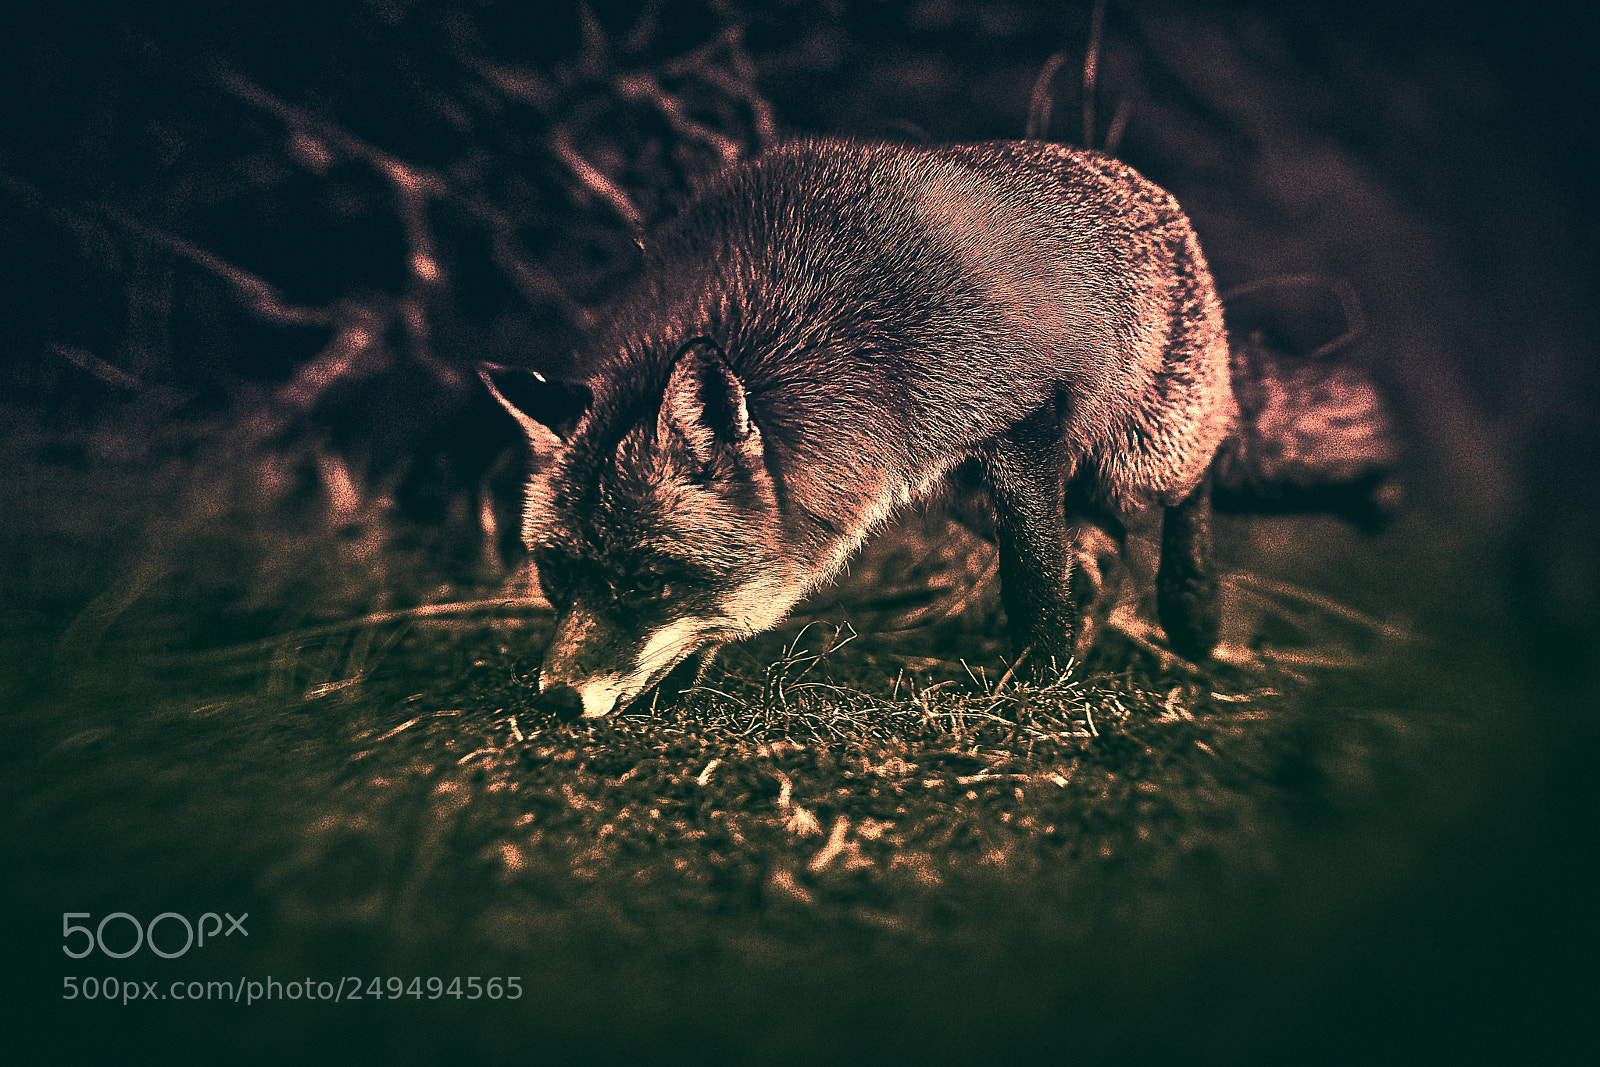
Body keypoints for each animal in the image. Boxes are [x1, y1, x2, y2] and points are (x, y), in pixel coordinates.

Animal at [483, 137, 1393, 720]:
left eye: (644, 581)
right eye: (555, 575)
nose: (555, 701)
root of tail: (1141, 182)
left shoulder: (1020, 416)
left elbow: (1035, 575)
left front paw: (1042, 677)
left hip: (1139, 450)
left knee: (1193, 483)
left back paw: (1191, 613)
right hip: (961, 490)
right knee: (1100, 551)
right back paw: (1104, 629)